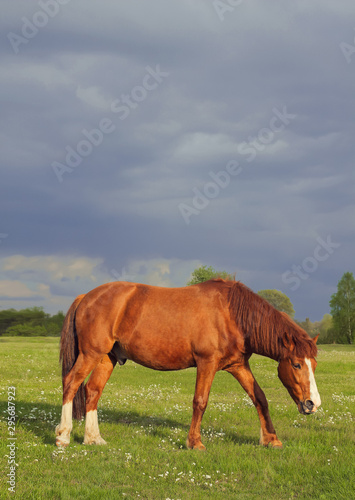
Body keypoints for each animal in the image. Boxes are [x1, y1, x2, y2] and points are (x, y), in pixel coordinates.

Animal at [56, 278, 322, 450]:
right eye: (296, 365)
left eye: (314, 365)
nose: (313, 404)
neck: (231, 314)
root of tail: (86, 297)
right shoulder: (207, 363)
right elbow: (200, 402)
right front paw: (195, 442)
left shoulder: (238, 366)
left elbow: (260, 398)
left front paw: (271, 439)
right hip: (90, 354)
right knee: (71, 384)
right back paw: (63, 436)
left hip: (106, 358)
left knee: (92, 391)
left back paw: (93, 438)